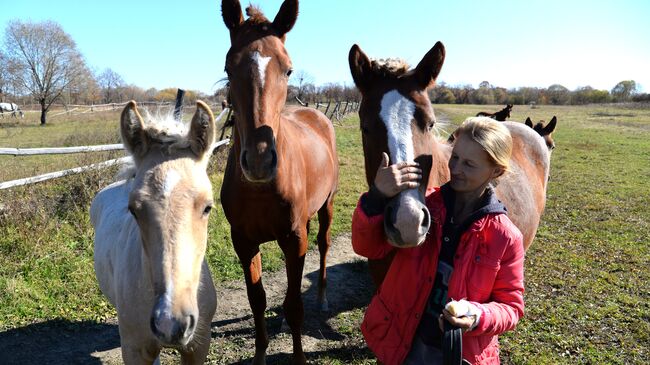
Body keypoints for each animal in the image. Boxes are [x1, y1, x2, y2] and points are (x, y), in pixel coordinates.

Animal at [219, 1, 340, 362]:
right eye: (229, 68)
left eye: (287, 70)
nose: (260, 161)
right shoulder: (244, 242)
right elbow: (257, 301)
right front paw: (260, 355)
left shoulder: (293, 238)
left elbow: (295, 305)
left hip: (327, 206)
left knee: (323, 244)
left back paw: (323, 297)